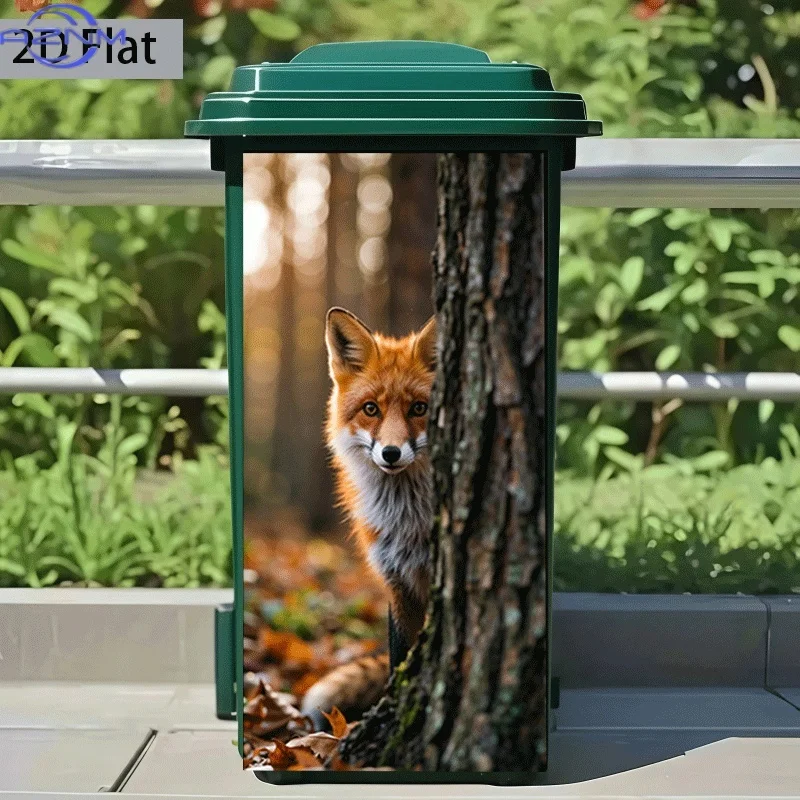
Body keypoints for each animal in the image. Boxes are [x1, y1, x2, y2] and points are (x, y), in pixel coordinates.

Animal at [300, 307, 436, 727]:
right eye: (371, 409)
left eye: (419, 408)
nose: (390, 453)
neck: (409, 520)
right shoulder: (398, 585)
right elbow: (398, 662)